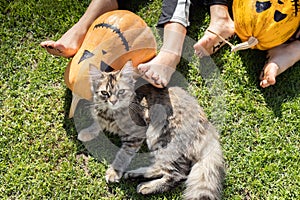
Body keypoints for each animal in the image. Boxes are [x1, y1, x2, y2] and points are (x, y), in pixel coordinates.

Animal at [78, 61, 224, 200]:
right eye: (104, 93)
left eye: (121, 92)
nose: (113, 101)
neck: (110, 113)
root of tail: (206, 124)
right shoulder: (101, 115)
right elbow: (97, 123)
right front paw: (87, 132)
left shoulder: (135, 133)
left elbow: (122, 155)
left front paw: (114, 172)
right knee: (161, 167)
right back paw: (134, 174)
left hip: (158, 137)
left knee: (176, 174)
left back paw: (146, 187)